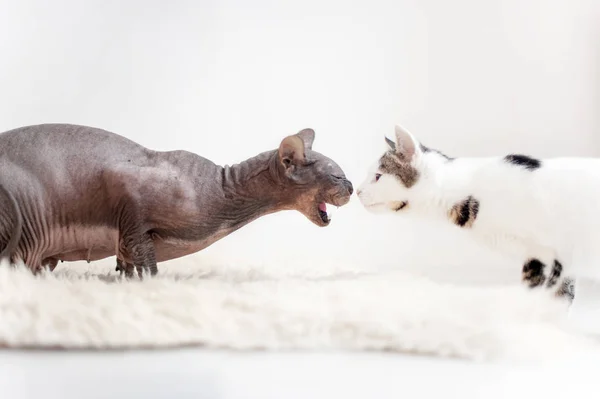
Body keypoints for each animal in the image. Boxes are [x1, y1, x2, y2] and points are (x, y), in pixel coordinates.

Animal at [0, 124, 352, 278]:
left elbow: (127, 262)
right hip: (25, 215)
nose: (350, 186)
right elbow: (147, 264)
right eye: (337, 176)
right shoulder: (130, 204)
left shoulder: (126, 237)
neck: (222, 188)